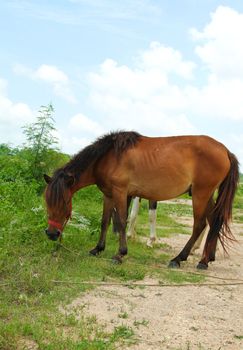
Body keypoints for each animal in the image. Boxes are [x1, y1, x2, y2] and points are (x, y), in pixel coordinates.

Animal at [43, 130, 239, 270]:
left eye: (64, 202)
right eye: (47, 202)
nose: (52, 234)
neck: (108, 157)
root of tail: (225, 151)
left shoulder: (121, 193)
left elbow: (122, 221)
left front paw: (120, 254)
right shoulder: (108, 195)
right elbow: (105, 221)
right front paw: (97, 249)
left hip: (200, 194)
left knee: (199, 225)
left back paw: (178, 259)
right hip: (207, 195)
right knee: (214, 221)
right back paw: (205, 260)